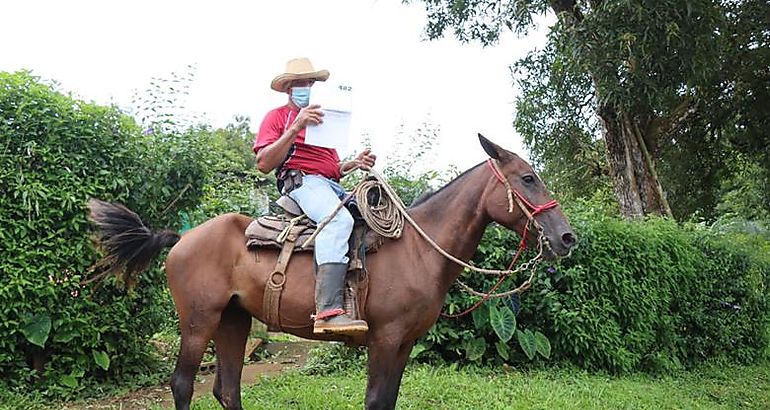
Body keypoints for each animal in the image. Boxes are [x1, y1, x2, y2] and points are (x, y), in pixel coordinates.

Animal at [87, 135, 572, 410]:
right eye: (528, 179)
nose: (567, 238)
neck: (417, 249)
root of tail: (183, 237)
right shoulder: (385, 339)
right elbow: (375, 401)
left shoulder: (403, 344)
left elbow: (388, 401)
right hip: (197, 320)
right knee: (184, 384)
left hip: (234, 320)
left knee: (228, 390)